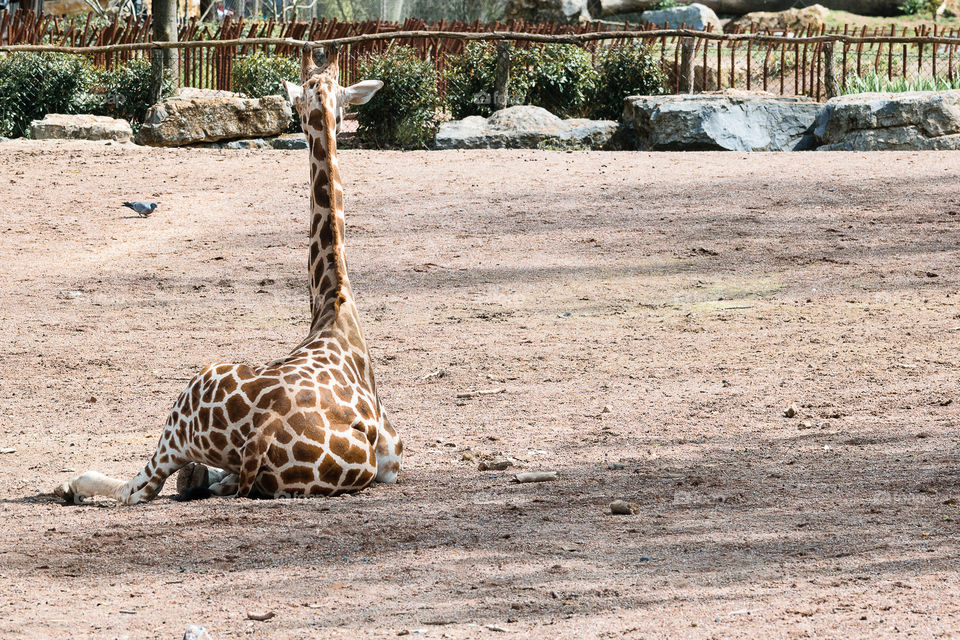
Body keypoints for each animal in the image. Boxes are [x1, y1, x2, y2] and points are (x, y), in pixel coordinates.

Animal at [53, 44, 403, 505]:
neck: (333, 302)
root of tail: (264, 432)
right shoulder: (391, 462)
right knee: (175, 484)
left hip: (186, 409)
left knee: (141, 488)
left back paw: (71, 482)